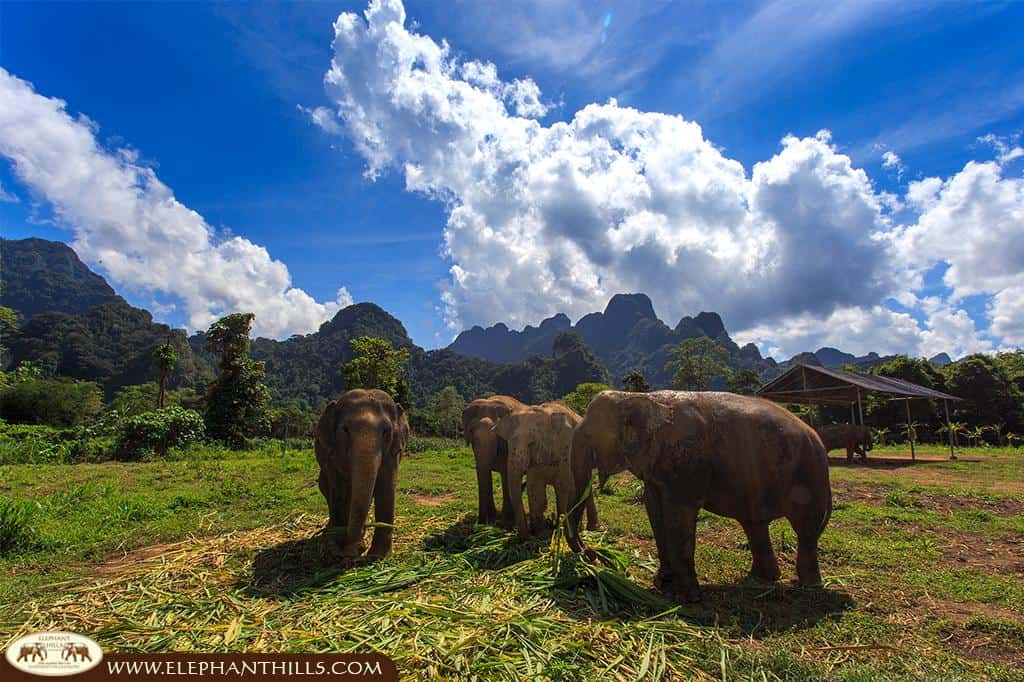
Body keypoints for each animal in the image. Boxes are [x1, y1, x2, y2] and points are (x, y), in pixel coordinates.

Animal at [315, 389, 409, 559]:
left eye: (386, 431)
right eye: (345, 430)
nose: (349, 551)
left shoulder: (394, 451)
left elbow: (386, 486)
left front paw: (378, 556)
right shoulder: (331, 454)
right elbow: (337, 490)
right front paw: (337, 549)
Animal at [462, 395, 528, 526]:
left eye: (497, 433)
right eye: (471, 431)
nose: (480, 522)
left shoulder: (508, 445)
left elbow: (505, 473)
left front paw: (506, 520)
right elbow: (484, 471)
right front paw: (492, 517)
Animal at [493, 401, 599, 538]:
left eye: (531, 443)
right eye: (508, 444)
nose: (524, 537)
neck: (545, 413)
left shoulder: (567, 448)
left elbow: (564, 486)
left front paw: (561, 532)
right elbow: (535, 489)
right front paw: (541, 533)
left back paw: (591, 528)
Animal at [567, 390, 832, 602]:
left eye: (589, 436)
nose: (590, 553)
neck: (637, 396)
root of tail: (817, 437)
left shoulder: (686, 461)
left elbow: (678, 516)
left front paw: (684, 598)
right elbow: (654, 510)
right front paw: (662, 585)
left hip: (808, 475)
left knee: (805, 529)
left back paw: (807, 586)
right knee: (755, 525)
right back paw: (762, 579)